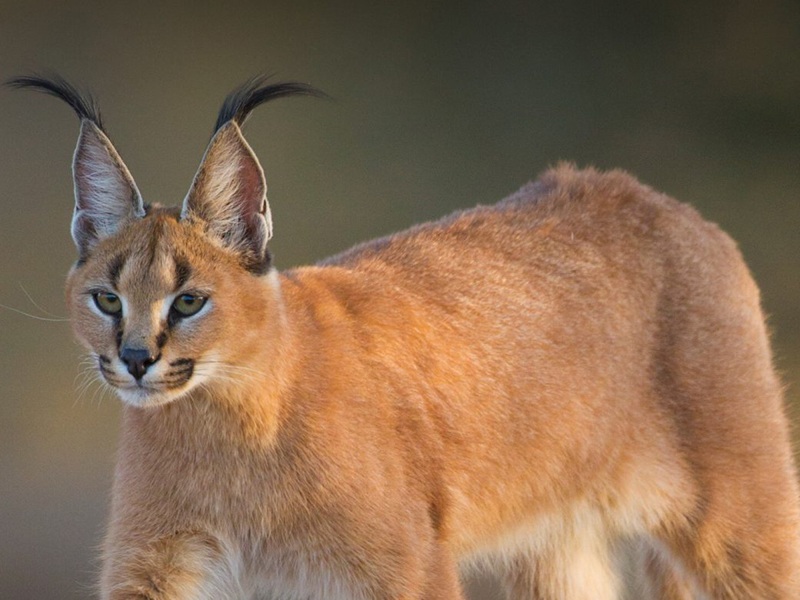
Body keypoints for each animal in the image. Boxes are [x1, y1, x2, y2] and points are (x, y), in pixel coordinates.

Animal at [9, 76, 800, 600]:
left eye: (190, 300)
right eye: (107, 298)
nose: (136, 360)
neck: (224, 423)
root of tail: (648, 194)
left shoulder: (403, 566)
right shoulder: (156, 564)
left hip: (740, 524)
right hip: (554, 549)